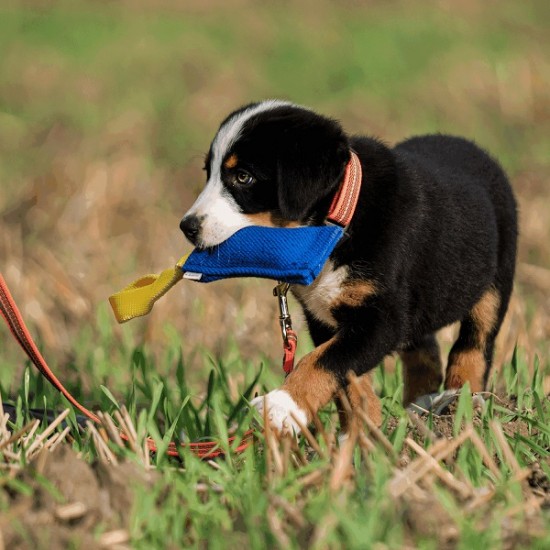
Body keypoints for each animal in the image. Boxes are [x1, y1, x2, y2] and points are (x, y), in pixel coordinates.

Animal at [182, 99, 520, 436]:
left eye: (243, 177)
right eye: (208, 172)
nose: (187, 227)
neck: (335, 225)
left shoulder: (381, 318)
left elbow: (323, 361)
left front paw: (281, 406)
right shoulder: (323, 317)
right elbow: (346, 379)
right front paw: (360, 433)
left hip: (495, 282)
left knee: (473, 346)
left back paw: (459, 406)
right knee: (425, 352)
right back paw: (420, 408)